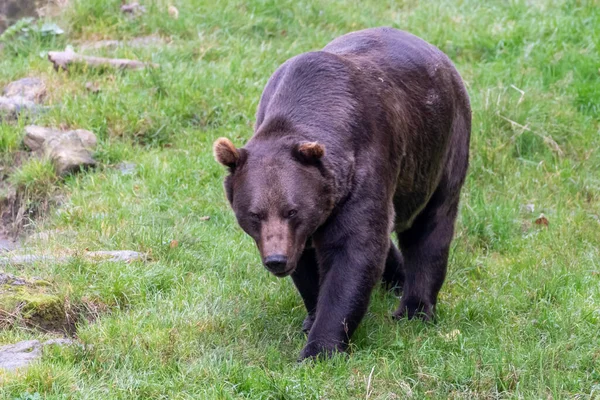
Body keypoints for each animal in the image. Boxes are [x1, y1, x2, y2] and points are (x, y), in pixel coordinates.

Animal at [213, 27, 472, 360]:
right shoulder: (313, 219)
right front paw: (311, 318)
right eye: (254, 214)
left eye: (292, 210)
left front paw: (319, 349)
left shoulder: (362, 173)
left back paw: (414, 309)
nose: (276, 260)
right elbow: (311, 262)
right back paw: (397, 278)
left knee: (430, 226)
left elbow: (353, 252)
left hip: (441, 148)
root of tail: (436, 52)